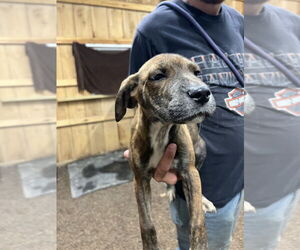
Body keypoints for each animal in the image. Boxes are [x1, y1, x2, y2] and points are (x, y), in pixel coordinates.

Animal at [115, 53, 216, 249]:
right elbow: (147, 225)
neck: (161, 128)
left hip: (200, 150)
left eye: (197, 73)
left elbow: (197, 221)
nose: (202, 93)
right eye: (158, 76)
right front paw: (150, 246)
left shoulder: (189, 171)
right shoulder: (140, 180)